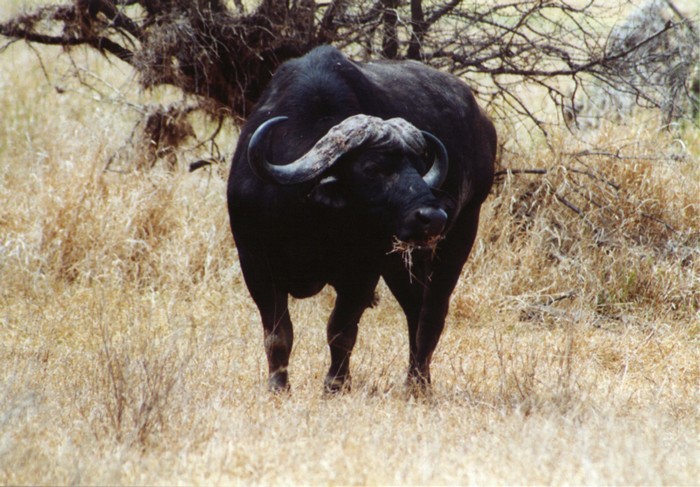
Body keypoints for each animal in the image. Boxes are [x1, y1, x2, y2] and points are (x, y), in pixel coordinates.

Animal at [227, 45, 494, 394]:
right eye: (372, 168)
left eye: (417, 164)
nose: (433, 217)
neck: (310, 219)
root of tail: (483, 123)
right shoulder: (255, 263)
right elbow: (278, 333)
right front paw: (278, 386)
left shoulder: (363, 271)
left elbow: (341, 329)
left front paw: (336, 384)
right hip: (402, 263)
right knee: (415, 308)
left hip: (460, 236)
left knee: (431, 314)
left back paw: (418, 384)